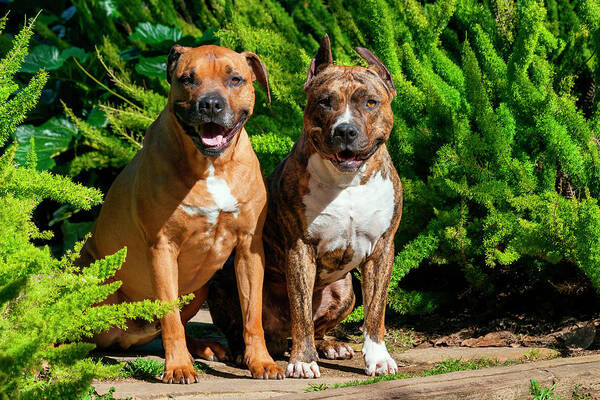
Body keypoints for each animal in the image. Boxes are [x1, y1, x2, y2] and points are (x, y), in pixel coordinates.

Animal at [79, 43, 284, 382]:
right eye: (188, 79)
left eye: (236, 79)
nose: (211, 104)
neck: (212, 165)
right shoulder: (163, 248)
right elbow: (170, 318)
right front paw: (177, 367)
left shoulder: (249, 248)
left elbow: (252, 315)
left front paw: (261, 361)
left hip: (201, 289)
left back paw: (205, 348)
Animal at [209, 35, 400, 378]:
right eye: (324, 102)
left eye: (370, 102)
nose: (346, 130)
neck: (347, 182)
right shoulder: (299, 248)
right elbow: (300, 311)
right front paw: (303, 361)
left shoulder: (382, 249)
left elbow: (375, 311)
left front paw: (378, 357)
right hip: (224, 279)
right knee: (256, 326)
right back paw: (242, 351)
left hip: (346, 290)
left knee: (318, 324)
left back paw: (330, 346)